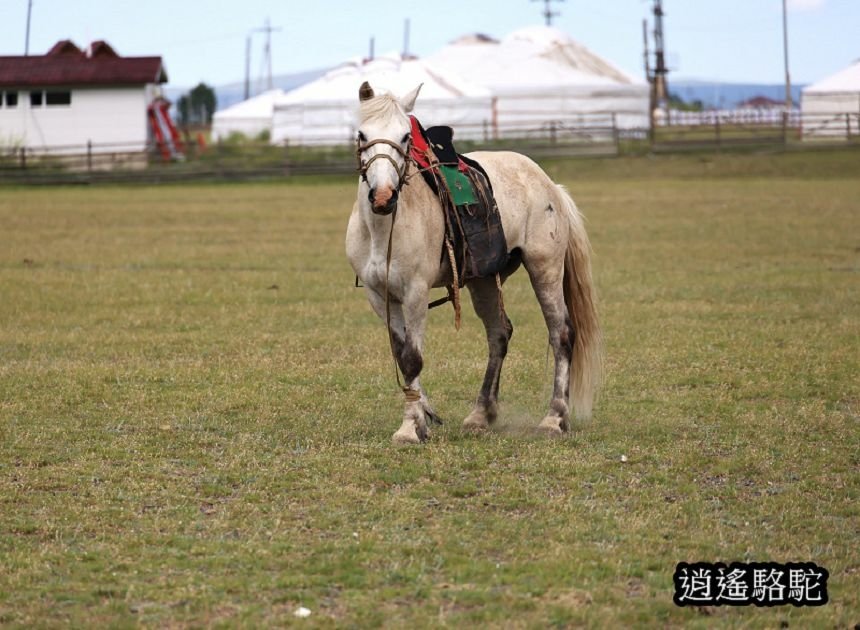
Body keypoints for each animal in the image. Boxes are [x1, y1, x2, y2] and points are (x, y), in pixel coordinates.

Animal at [342, 84, 596, 446]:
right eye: (362, 134)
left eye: (405, 136)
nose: (383, 196)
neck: (383, 229)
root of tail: (550, 185)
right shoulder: (380, 297)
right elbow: (401, 355)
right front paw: (423, 417)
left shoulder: (415, 293)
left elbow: (412, 359)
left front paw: (410, 427)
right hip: (484, 279)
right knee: (499, 334)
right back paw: (481, 414)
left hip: (544, 268)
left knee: (560, 333)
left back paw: (554, 418)